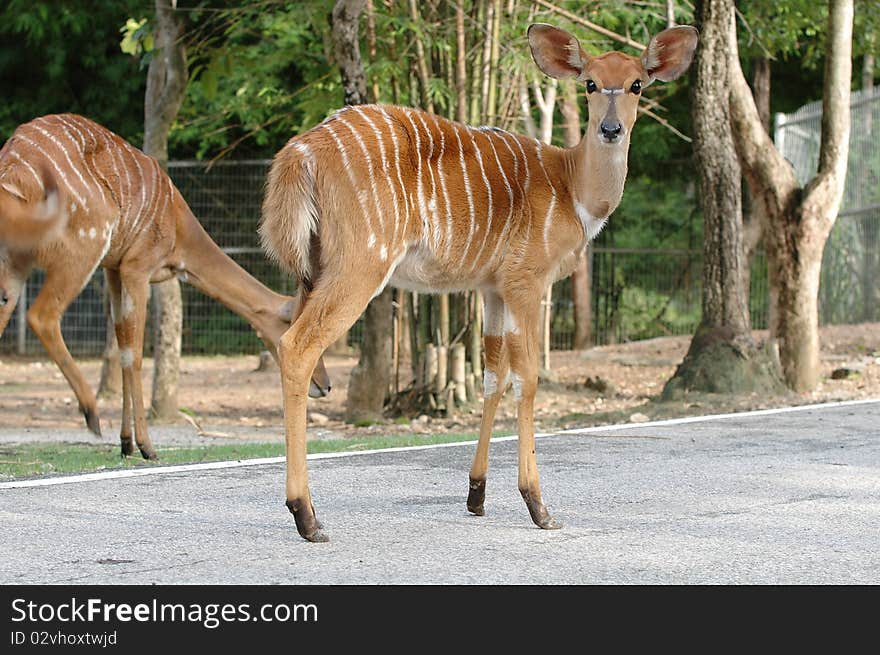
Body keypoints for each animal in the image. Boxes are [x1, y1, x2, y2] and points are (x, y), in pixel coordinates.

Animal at [0, 114, 330, 462]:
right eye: (290, 321)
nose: (325, 385)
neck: (179, 232)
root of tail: (13, 167)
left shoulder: (113, 269)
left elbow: (122, 348)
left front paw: (126, 443)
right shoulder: (136, 266)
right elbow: (135, 354)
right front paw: (147, 446)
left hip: (17, 261)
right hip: (83, 246)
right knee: (41, 315)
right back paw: (91, 414)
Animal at [260, 23, 696, 540]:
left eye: (637, 85)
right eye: (590, 83)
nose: (611, 130)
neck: (571, 186)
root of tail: (299, 152)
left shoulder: (492, 288)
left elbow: (493, 376)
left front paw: (477, 495)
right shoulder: (527, 282)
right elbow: (528, 378)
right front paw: (539, 506)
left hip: (315, 268)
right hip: (361, 263)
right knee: (297, 346)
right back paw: (307, 516)